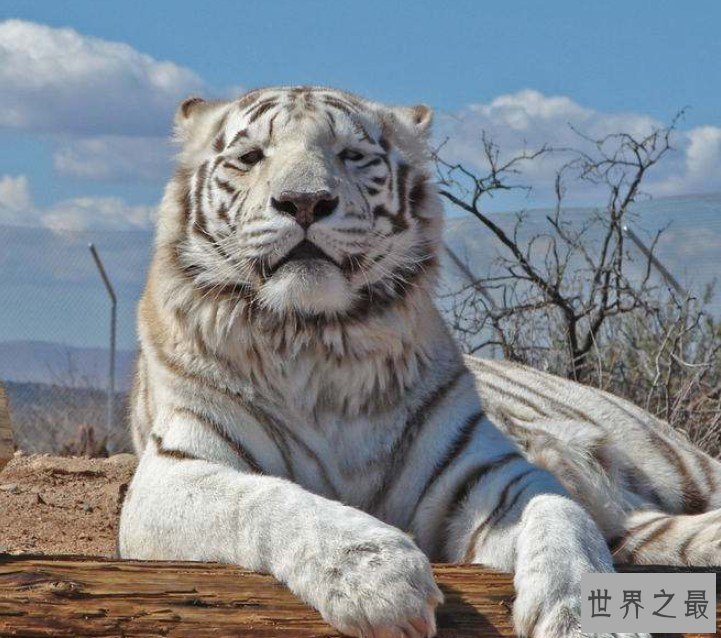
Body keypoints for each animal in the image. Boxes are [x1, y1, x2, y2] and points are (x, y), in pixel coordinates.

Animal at [119, 85, 721, 638]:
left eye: (351, 155)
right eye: (250, 157)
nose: (305, 202)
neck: (318, 342)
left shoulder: (484, 473)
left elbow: (560, 510)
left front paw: (586, 618)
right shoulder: (171, 473)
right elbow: (263, 498)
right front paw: (374, 576)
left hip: (670, 460)